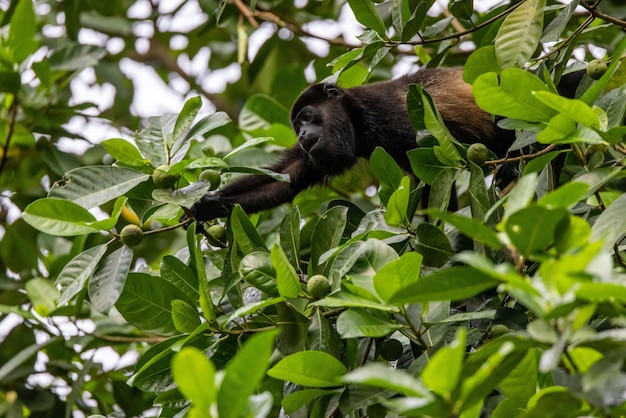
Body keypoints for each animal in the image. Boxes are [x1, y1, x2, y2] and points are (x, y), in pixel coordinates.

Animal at [188, 67, 584, 222]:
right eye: (296, 125)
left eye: (308, 116)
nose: (300, 135)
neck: (357, 119)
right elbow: (286, 178)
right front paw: (211, 204)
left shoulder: (391, 112)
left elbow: (435, 177)